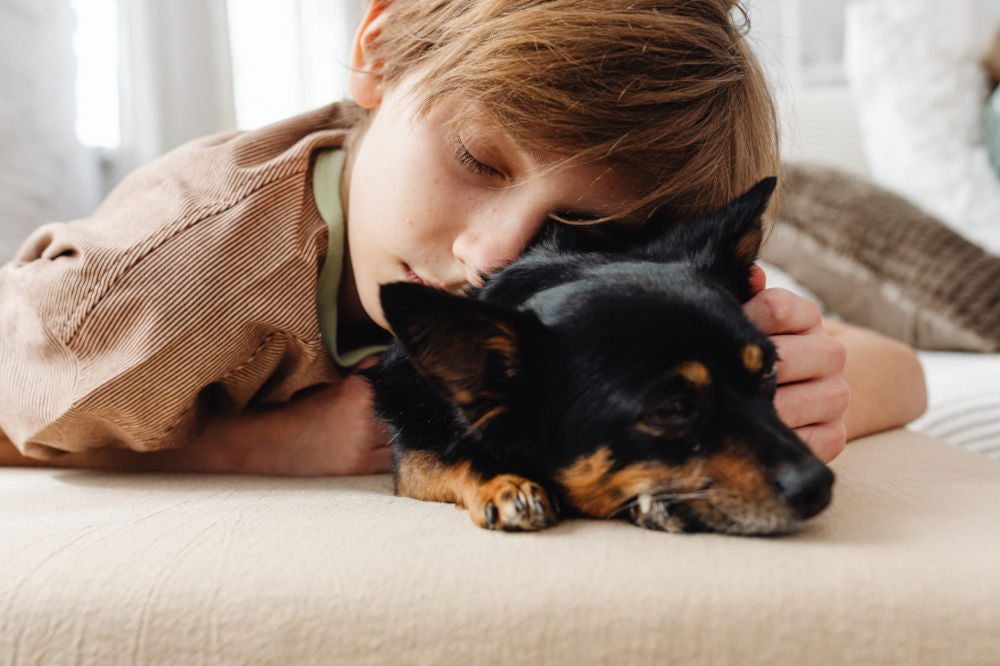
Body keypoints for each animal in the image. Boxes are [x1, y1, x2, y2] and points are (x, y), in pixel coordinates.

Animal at [364, 178, 832, 536]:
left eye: (770, 372)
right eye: (673, 409)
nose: (821, 485)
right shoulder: (414, 448)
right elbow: (446, 455)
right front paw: (504, 482)